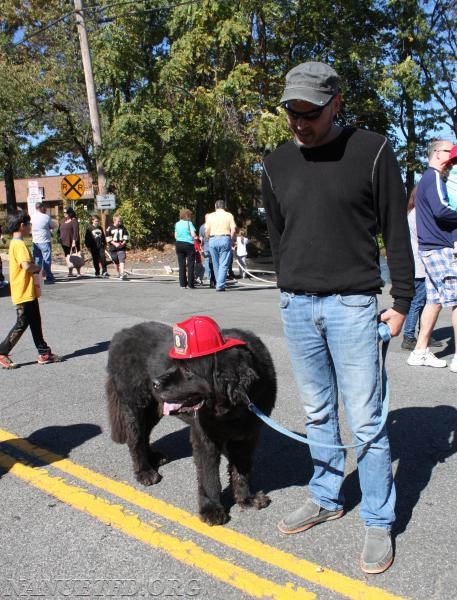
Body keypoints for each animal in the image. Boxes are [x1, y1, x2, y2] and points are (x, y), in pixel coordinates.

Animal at [107, 318, 276, 524]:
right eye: (174, 364)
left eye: (187, 369)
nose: (155, 382)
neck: (232, 410)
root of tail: (120, 334)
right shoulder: (205, 437)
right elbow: (209, 476)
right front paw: (212, 510)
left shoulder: (246, 436)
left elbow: (242, 469)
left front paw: (247, 499)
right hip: (136, 405)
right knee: (136, 439)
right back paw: (144, 471)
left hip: (154, 409)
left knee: (145, 433)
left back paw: (154, 457)